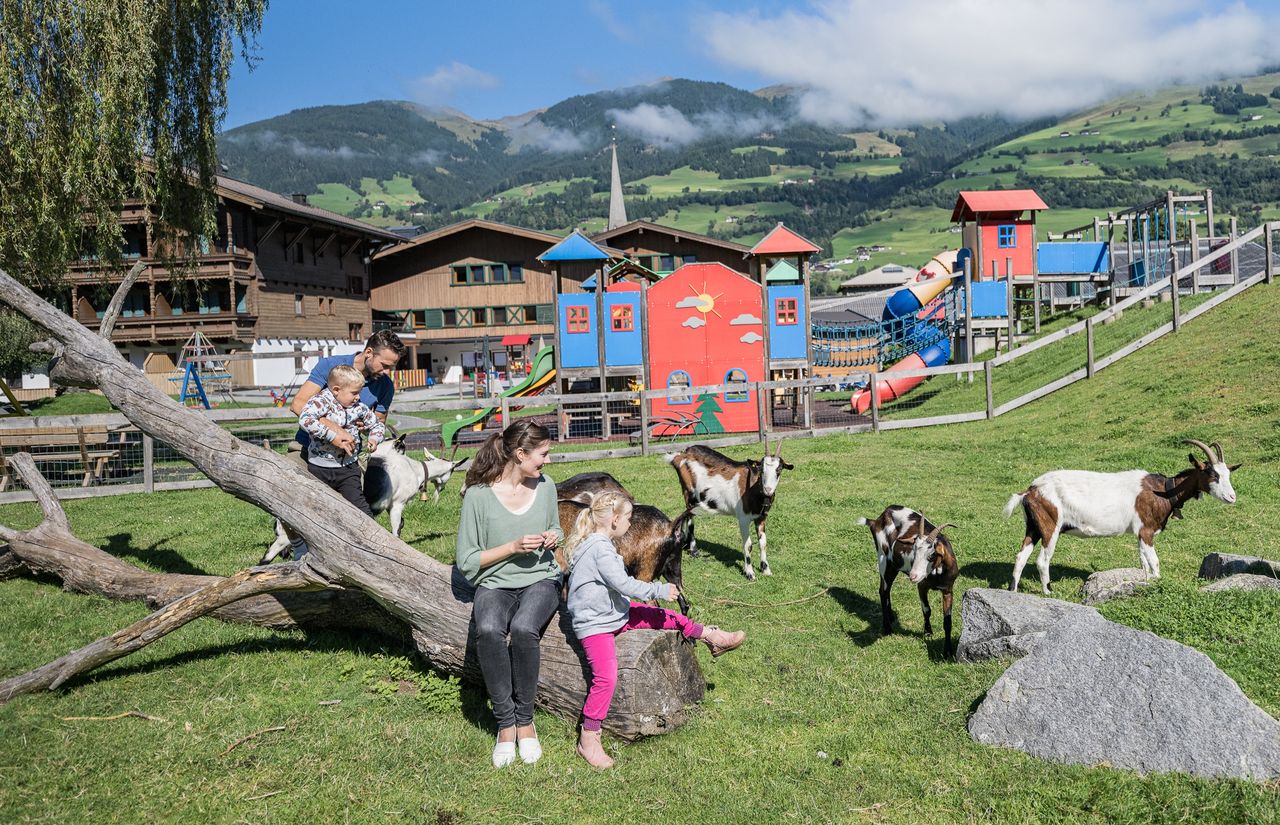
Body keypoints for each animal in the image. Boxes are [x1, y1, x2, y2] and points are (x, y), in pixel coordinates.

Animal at [670, 445, 788, 578]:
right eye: (761, 469)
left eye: (779, 469)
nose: (768, 489)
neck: (754, 490)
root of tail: (682, 454)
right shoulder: (743, 519)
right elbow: (748, 545)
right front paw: (749, 573)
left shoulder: (761, 517)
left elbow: (763, 543)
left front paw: (766, 570)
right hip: (688, 494)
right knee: (690, 518)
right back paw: (694, 551)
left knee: (686, 515)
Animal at [855, 503, 957, 652]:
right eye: (914, 550)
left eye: (932, 555)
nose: (913, 576)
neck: (937, 574)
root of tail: (878, 518)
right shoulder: (922, 586)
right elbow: (927, 610)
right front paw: (928, 633)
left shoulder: (948, 589)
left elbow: (947, 620)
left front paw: (948, 650)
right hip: (884, 560)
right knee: (883, 591)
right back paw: (887, 628)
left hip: (893, 566)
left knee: (886, 589)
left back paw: (891, 617)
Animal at [998, 437, 1239, 590]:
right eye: (1212, 474)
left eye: (1228, 474)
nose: (1232, 497)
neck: (1164, 490)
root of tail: (1030, 490)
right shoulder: (1146, 530)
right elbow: (1155, 563)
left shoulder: (1139, 534)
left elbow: (1143, 563)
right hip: (1050, 525)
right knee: (1042, 560)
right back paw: (1048, 591)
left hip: (1033, 526)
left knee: (1020, 556)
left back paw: (1013, 590)